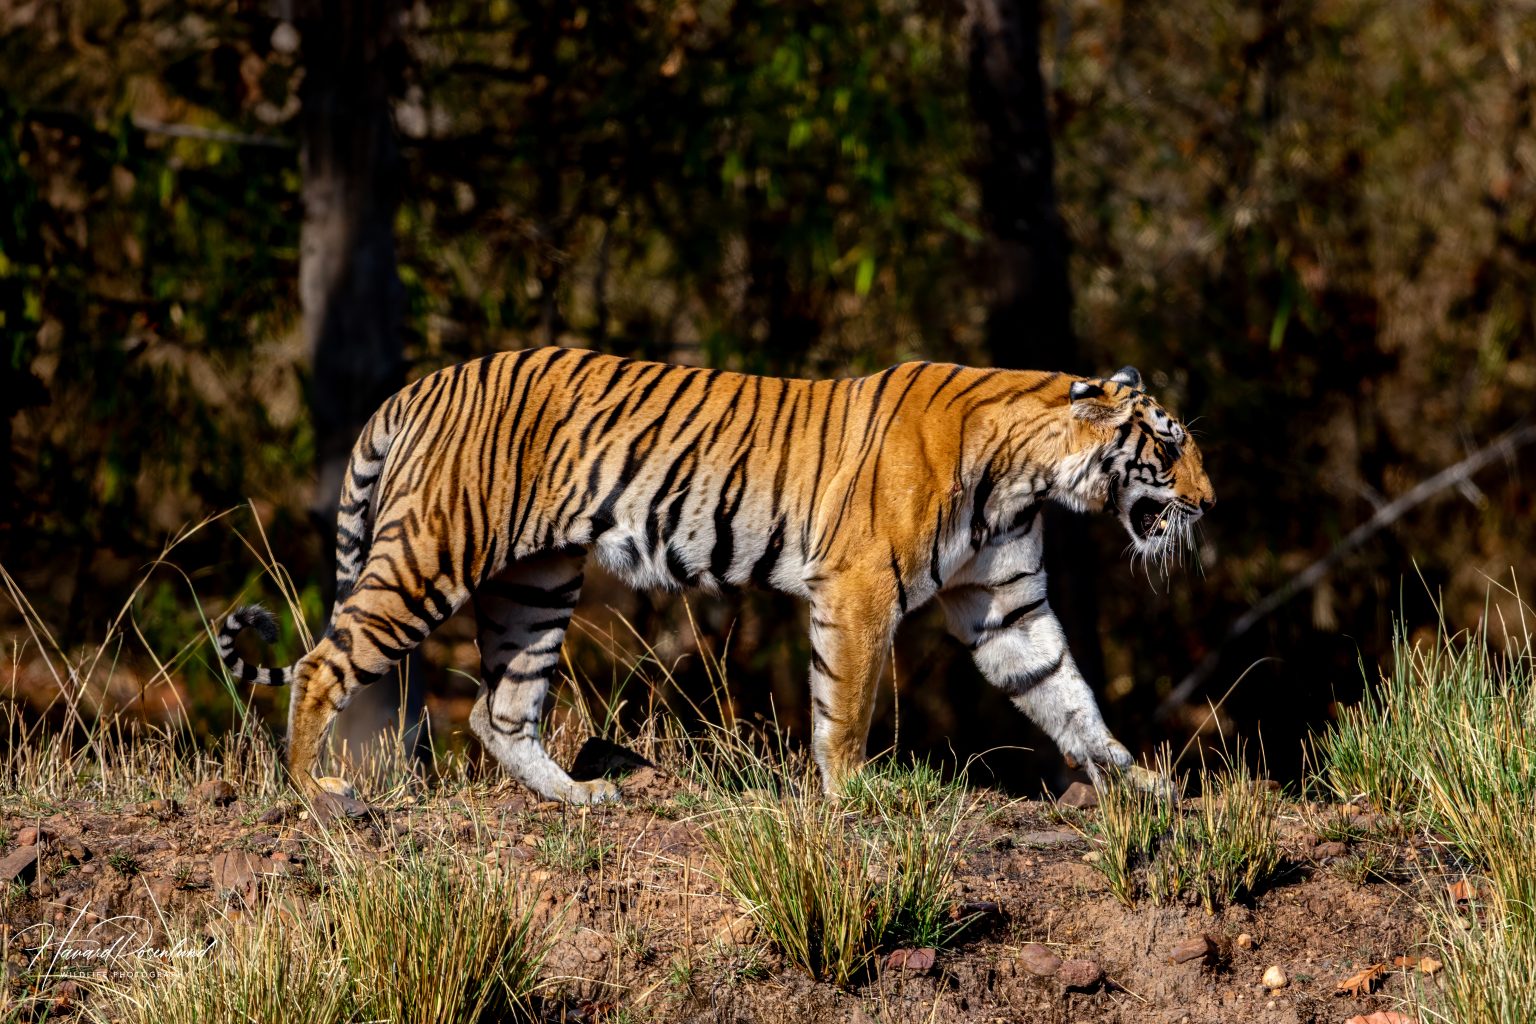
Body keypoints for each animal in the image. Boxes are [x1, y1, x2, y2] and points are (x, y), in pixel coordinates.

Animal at [217, 347, 1214, 804]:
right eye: (1169, 447)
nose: (1208, 504)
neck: (1029, 475)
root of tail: (421, 384)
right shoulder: (857, 590)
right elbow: (846, 707)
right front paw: (851, 795)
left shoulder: (1006, 606)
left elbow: (1068, 697)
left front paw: (1148, 788)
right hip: (432, 555)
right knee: (324, 663)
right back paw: (315, 793)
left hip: (537, 585)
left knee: (501, 714)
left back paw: (583, 796)